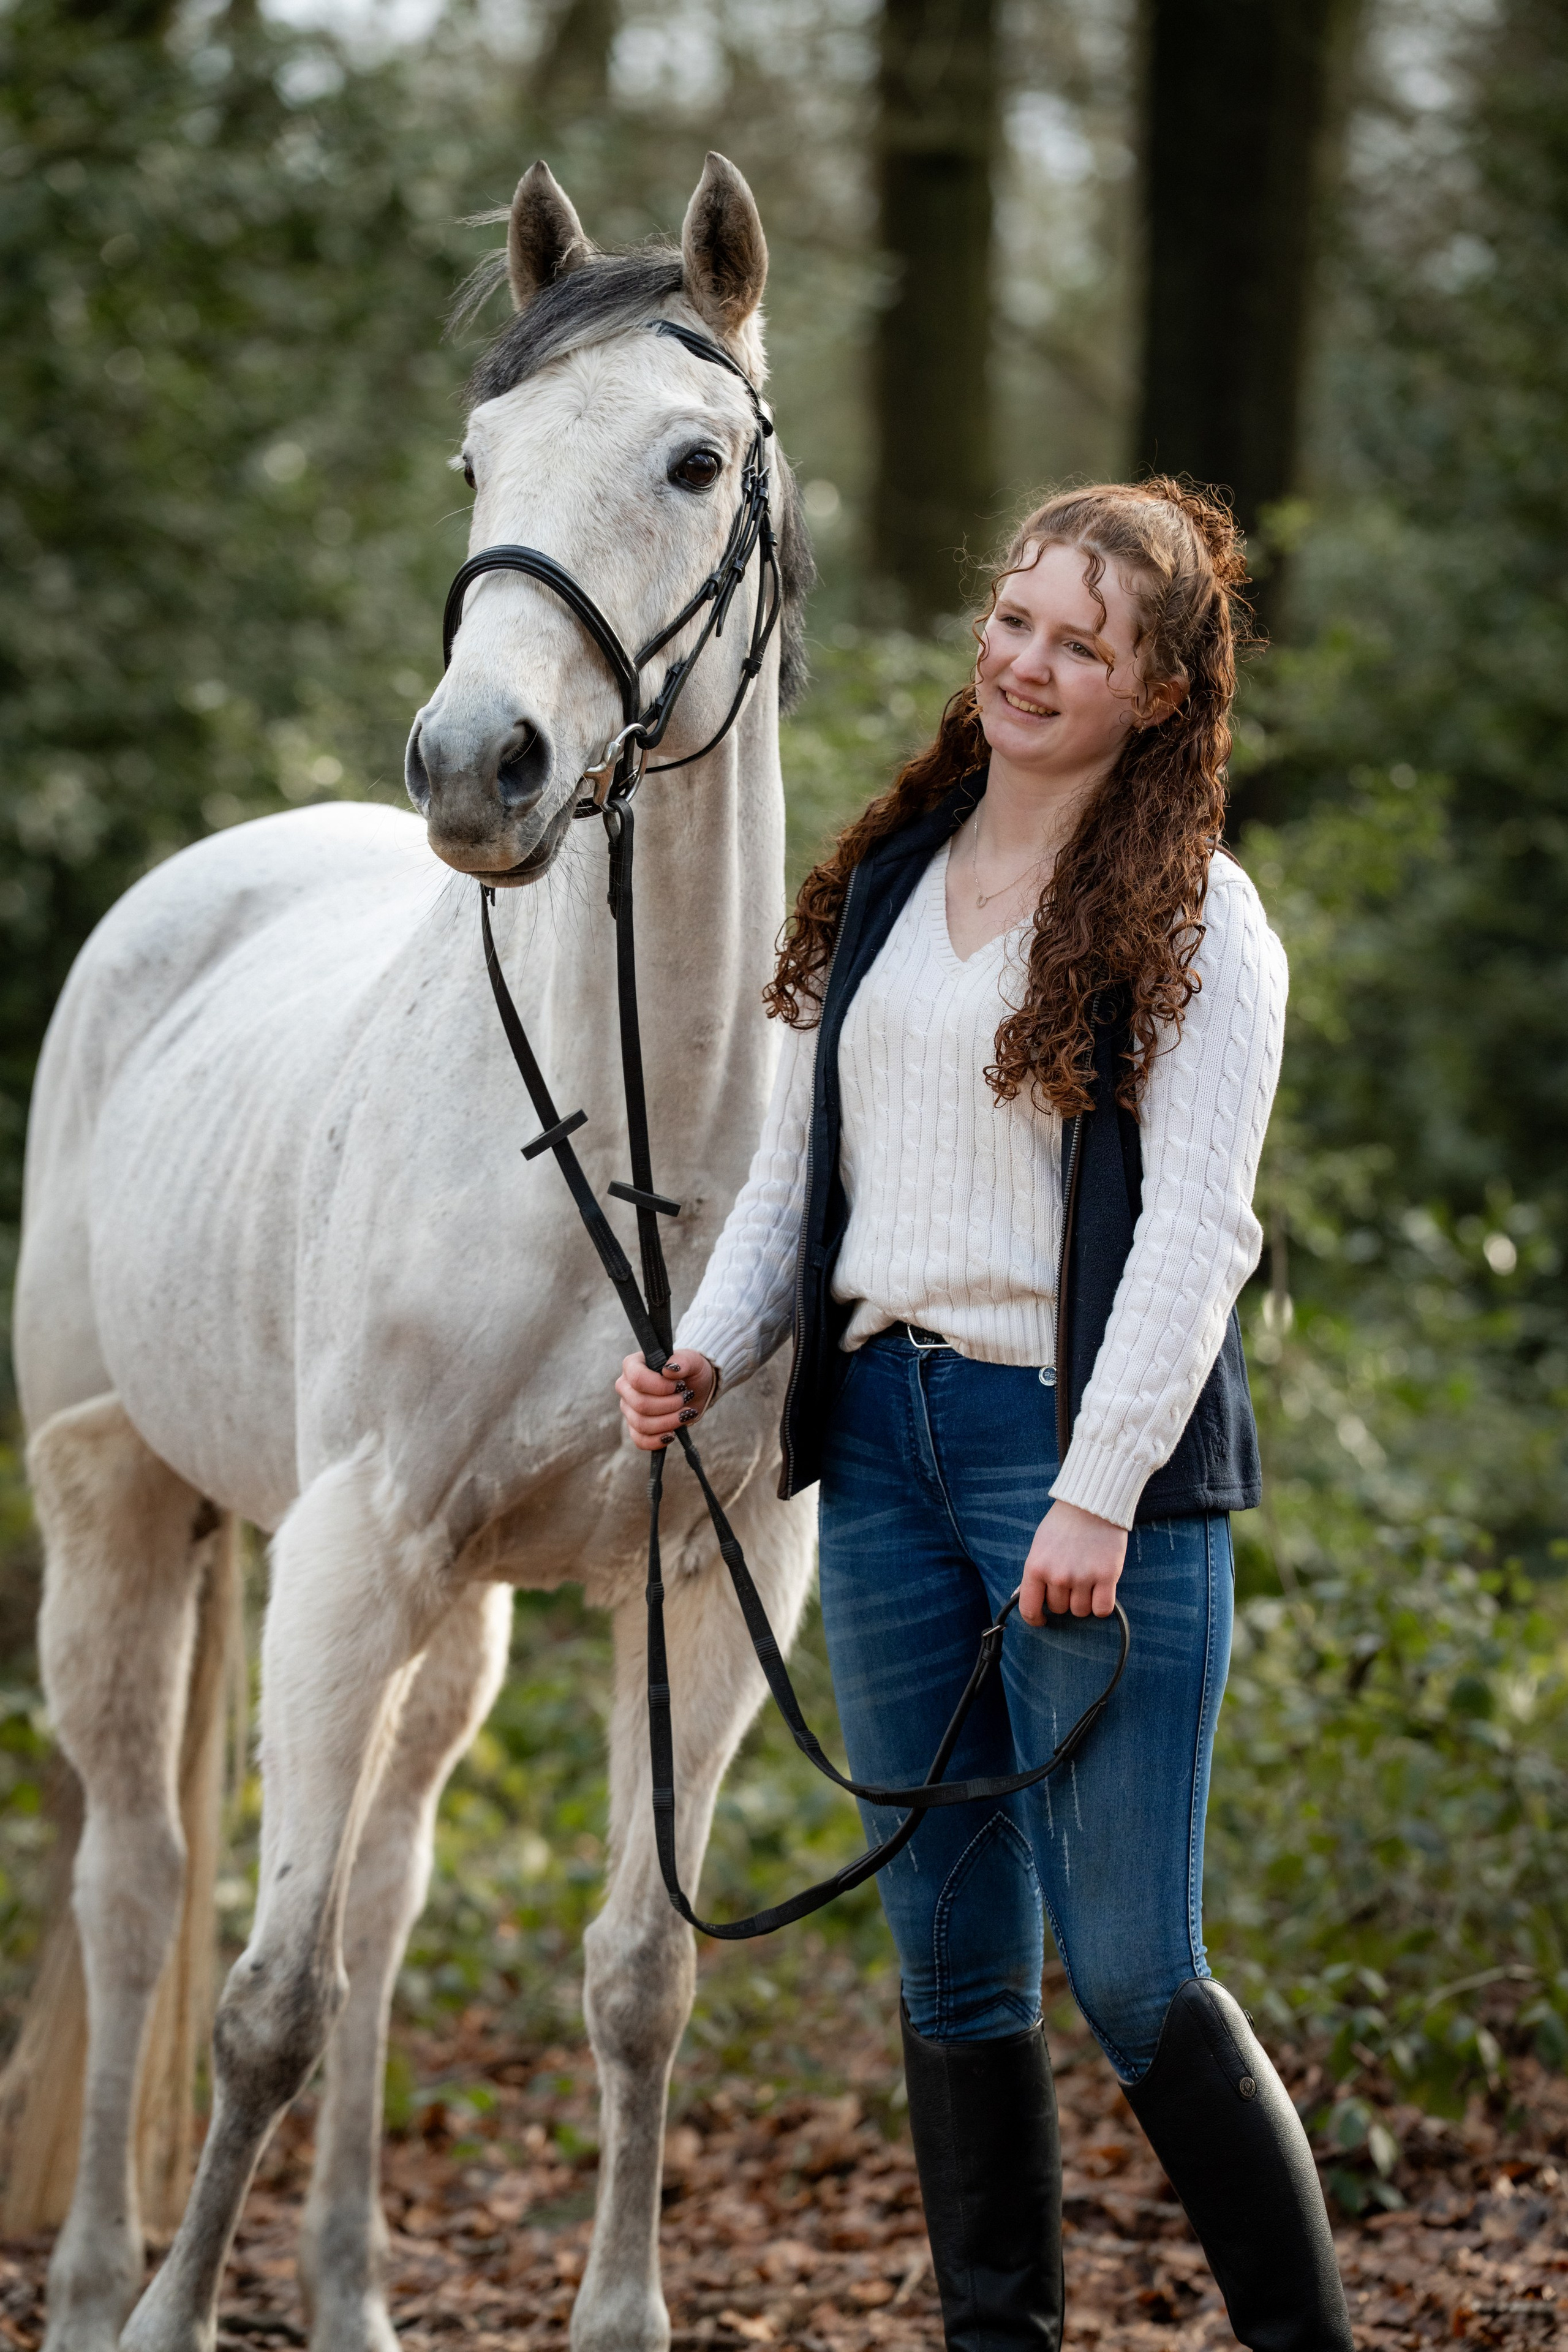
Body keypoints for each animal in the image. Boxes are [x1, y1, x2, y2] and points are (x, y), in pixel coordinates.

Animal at [7, 151, 818, 2352]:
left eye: (694, 459)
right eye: (478, 458)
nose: (477, 768)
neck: (633, 1143)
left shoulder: (704, 1585)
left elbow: (640, 1976)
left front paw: (620, 2318)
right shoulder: (349, 1558)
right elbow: (261, 2007)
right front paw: (171, 2319)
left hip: (451, 1628)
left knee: (378, 1902)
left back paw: (354, 2293)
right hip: (126, 1512)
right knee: (140, 1884)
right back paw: (99, 2283)